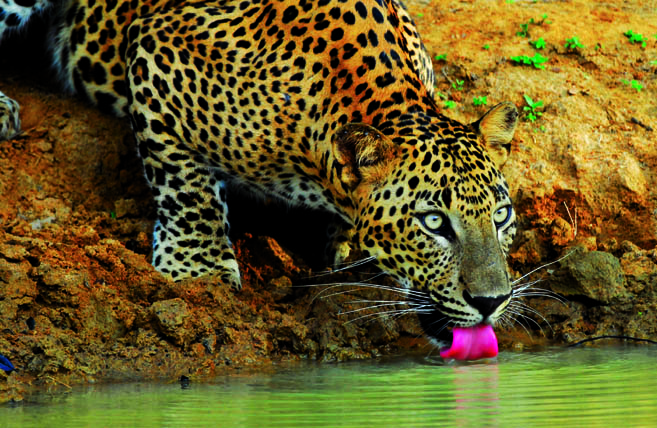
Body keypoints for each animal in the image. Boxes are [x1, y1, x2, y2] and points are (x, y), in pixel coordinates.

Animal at [0, 0, 519, 351]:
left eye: (501, 216)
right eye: (433, 223)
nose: (492, 301)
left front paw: (347, 243)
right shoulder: (157, 53)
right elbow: (185, 186)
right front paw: (198, 269)